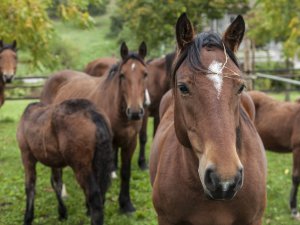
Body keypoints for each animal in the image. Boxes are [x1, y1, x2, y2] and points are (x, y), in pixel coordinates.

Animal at [39, 40, 148, 213]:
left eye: (145, 74)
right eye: (122, 75)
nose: (135, 112)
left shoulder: (130, 142)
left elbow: (125, 172)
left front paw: (126, 205)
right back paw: (62, 193)